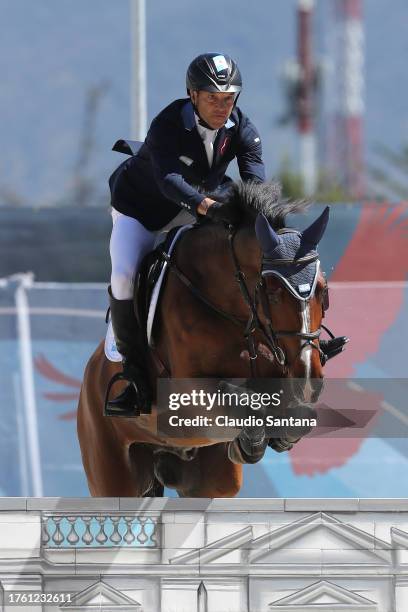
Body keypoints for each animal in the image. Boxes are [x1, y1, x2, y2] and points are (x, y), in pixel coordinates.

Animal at [77, 182, 332, 498]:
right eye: (271, 289)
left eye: (323, 289)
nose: (308, 378)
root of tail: (89, 377)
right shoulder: (189, 393)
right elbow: (239, 400)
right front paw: (250, 438)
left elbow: (297, 415)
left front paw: (264, 438)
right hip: (113, 477)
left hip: (207, 483)